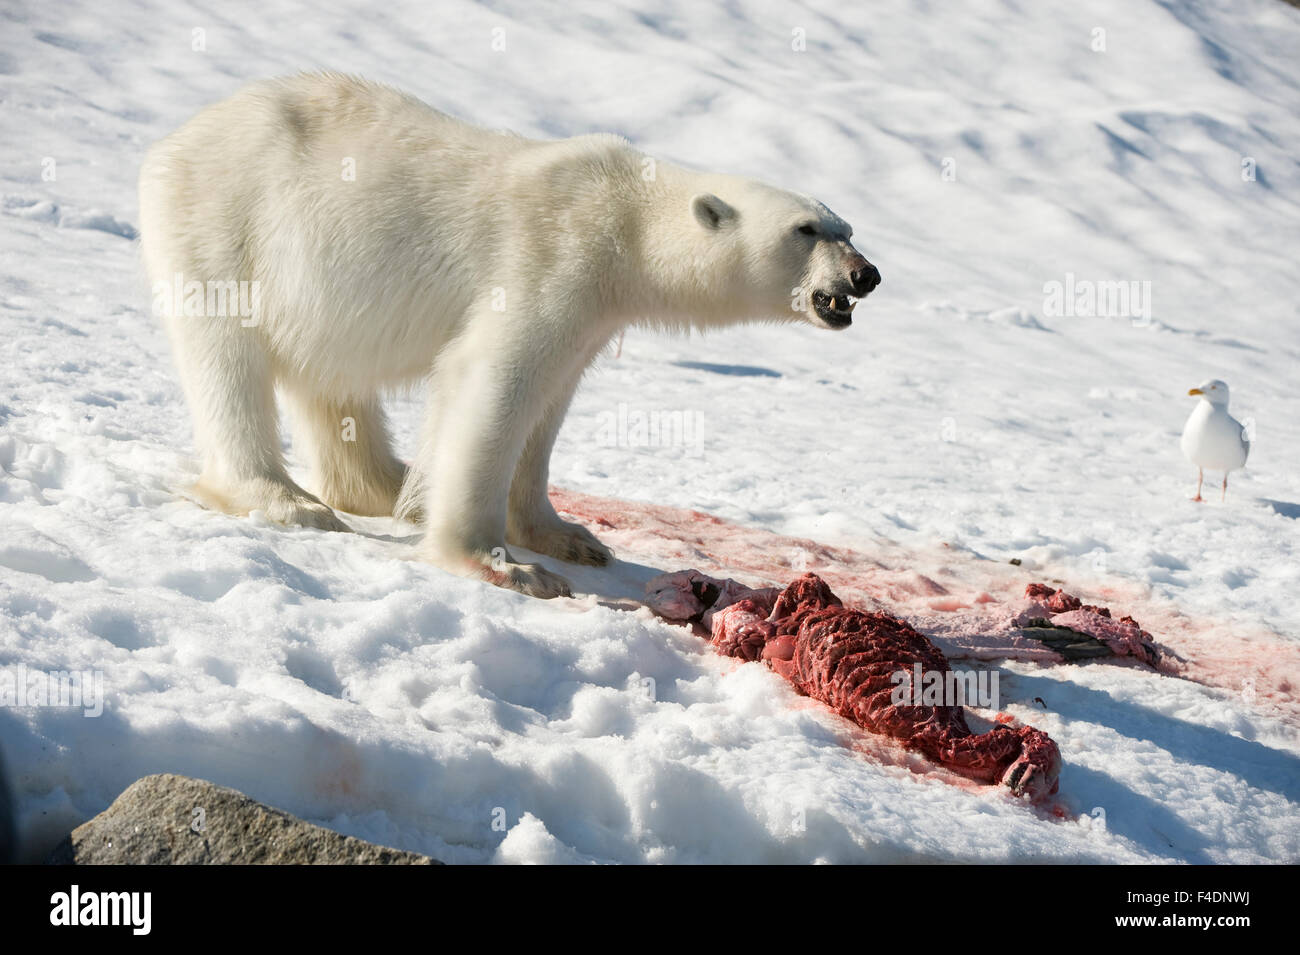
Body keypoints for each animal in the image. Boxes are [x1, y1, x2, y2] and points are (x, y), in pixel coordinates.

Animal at [137, 72, 878, 597]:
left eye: (846, 227)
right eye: (806, 230)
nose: (866, 274)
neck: (625, 220)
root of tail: (175, 139)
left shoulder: (591, 312)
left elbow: (548, 405)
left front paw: (569, 537)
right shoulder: (548, 262)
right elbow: (495, 383)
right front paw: (504, 565)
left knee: (332, 378)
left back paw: (385, 485)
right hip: (224, 223)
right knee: (228, 358)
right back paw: (285, 499)